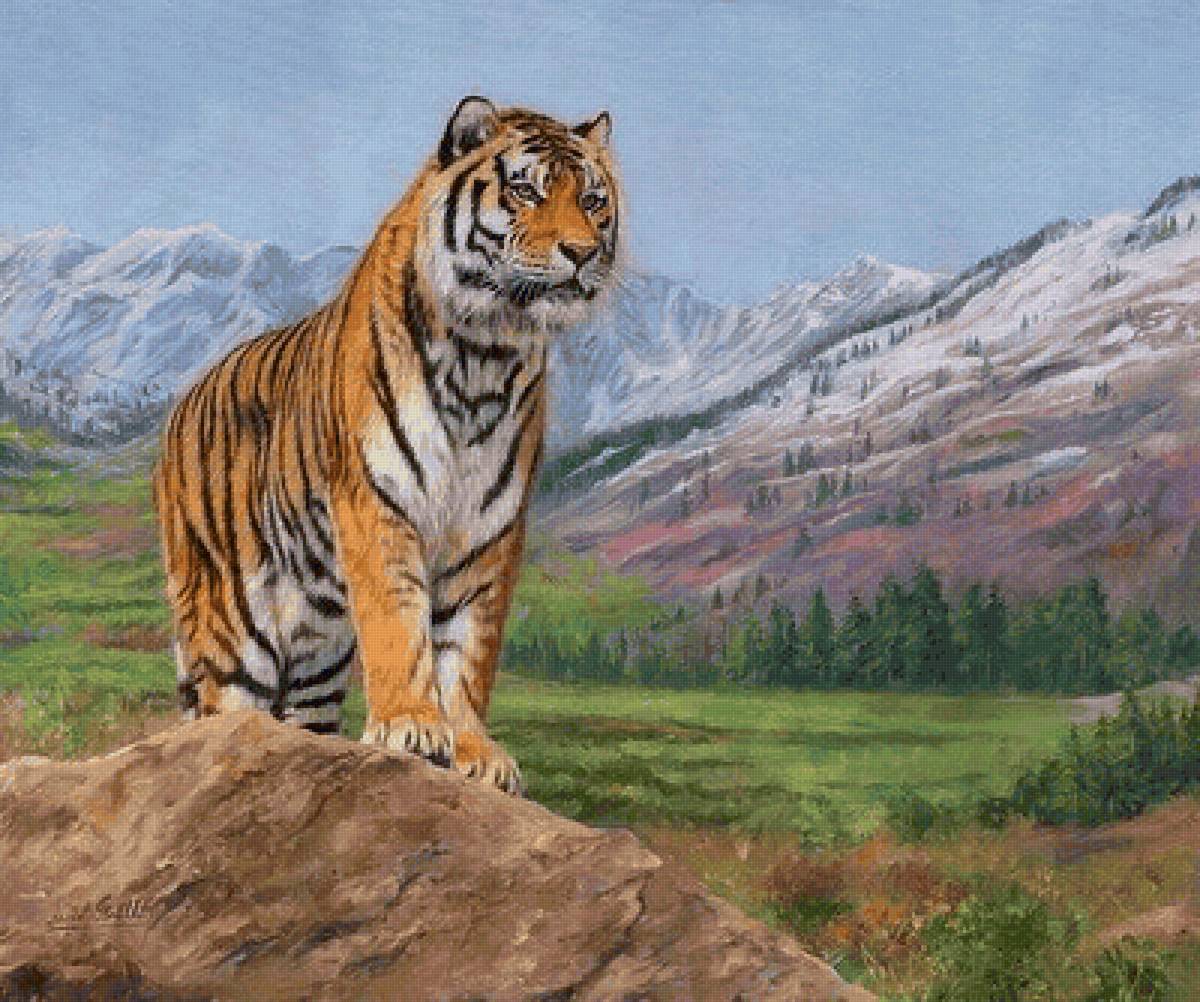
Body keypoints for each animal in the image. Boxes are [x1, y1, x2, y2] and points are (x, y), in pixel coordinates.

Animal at [152, 97, 621, 794]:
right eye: (524, 190)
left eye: (592, 200)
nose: (583, 253)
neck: (486, 352)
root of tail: (183, 404)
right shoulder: (378, 501)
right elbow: (399, 622)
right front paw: (411, 726)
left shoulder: (489, 529)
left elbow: (468, 649)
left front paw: (475, 752)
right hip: (232, 628)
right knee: (221, 714)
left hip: (316, 654)